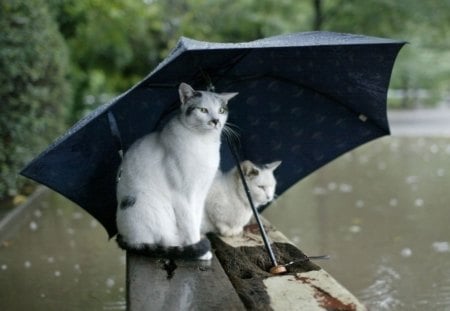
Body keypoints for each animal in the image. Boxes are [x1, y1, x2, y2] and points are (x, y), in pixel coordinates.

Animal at [115, 83, 239, 260]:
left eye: (221, 110)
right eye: (203, 110)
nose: (215, 121)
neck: (204, 143)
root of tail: (125, 238)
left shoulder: (200, 194)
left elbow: (196, 219)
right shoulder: (182, 196)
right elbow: (190, 225)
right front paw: (200, 250)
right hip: (152, 206)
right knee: (163, 241)